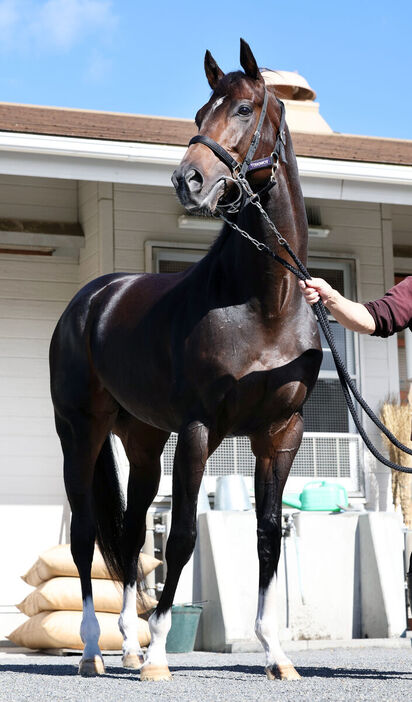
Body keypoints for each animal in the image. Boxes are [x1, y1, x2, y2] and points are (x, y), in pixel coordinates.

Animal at [50, 38, 322, 680]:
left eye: (245, 109)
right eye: (200, 113)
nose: (187, 180)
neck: (266, 301)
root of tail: (90, 300)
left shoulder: (282, 432)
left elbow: (267, 537)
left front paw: (276, 653)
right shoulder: (199, 429)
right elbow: (178, 541)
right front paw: (158, 655)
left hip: (143, 442)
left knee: (127, 534)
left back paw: (125, 644)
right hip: (81, 432)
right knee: (87, 535)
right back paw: (95, 651)